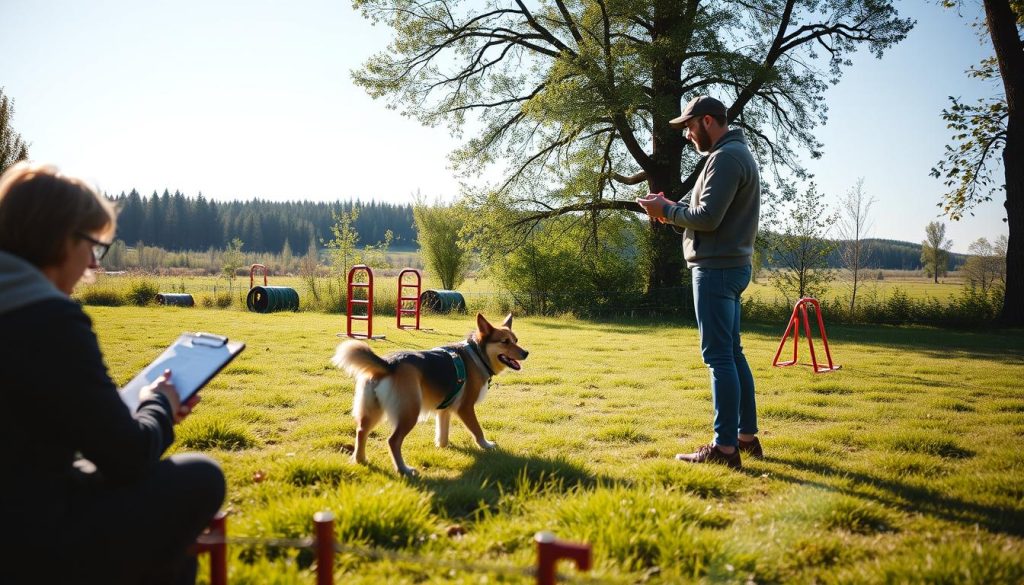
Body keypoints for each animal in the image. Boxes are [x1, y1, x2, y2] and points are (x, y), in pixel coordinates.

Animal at [333, 311, 528, 475]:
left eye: (516, 339)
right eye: (505, 341)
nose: (526, 352)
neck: (477, 355)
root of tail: (389, 364)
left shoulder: (444, 410)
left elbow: (443, 433)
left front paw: (443, 447)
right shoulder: (465, 408)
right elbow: (477, 430)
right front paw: (486, 445)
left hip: (372, 411)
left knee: (361, 432)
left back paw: (360, 460)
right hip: (410, 413)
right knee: (393, 441)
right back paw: (403, 469)